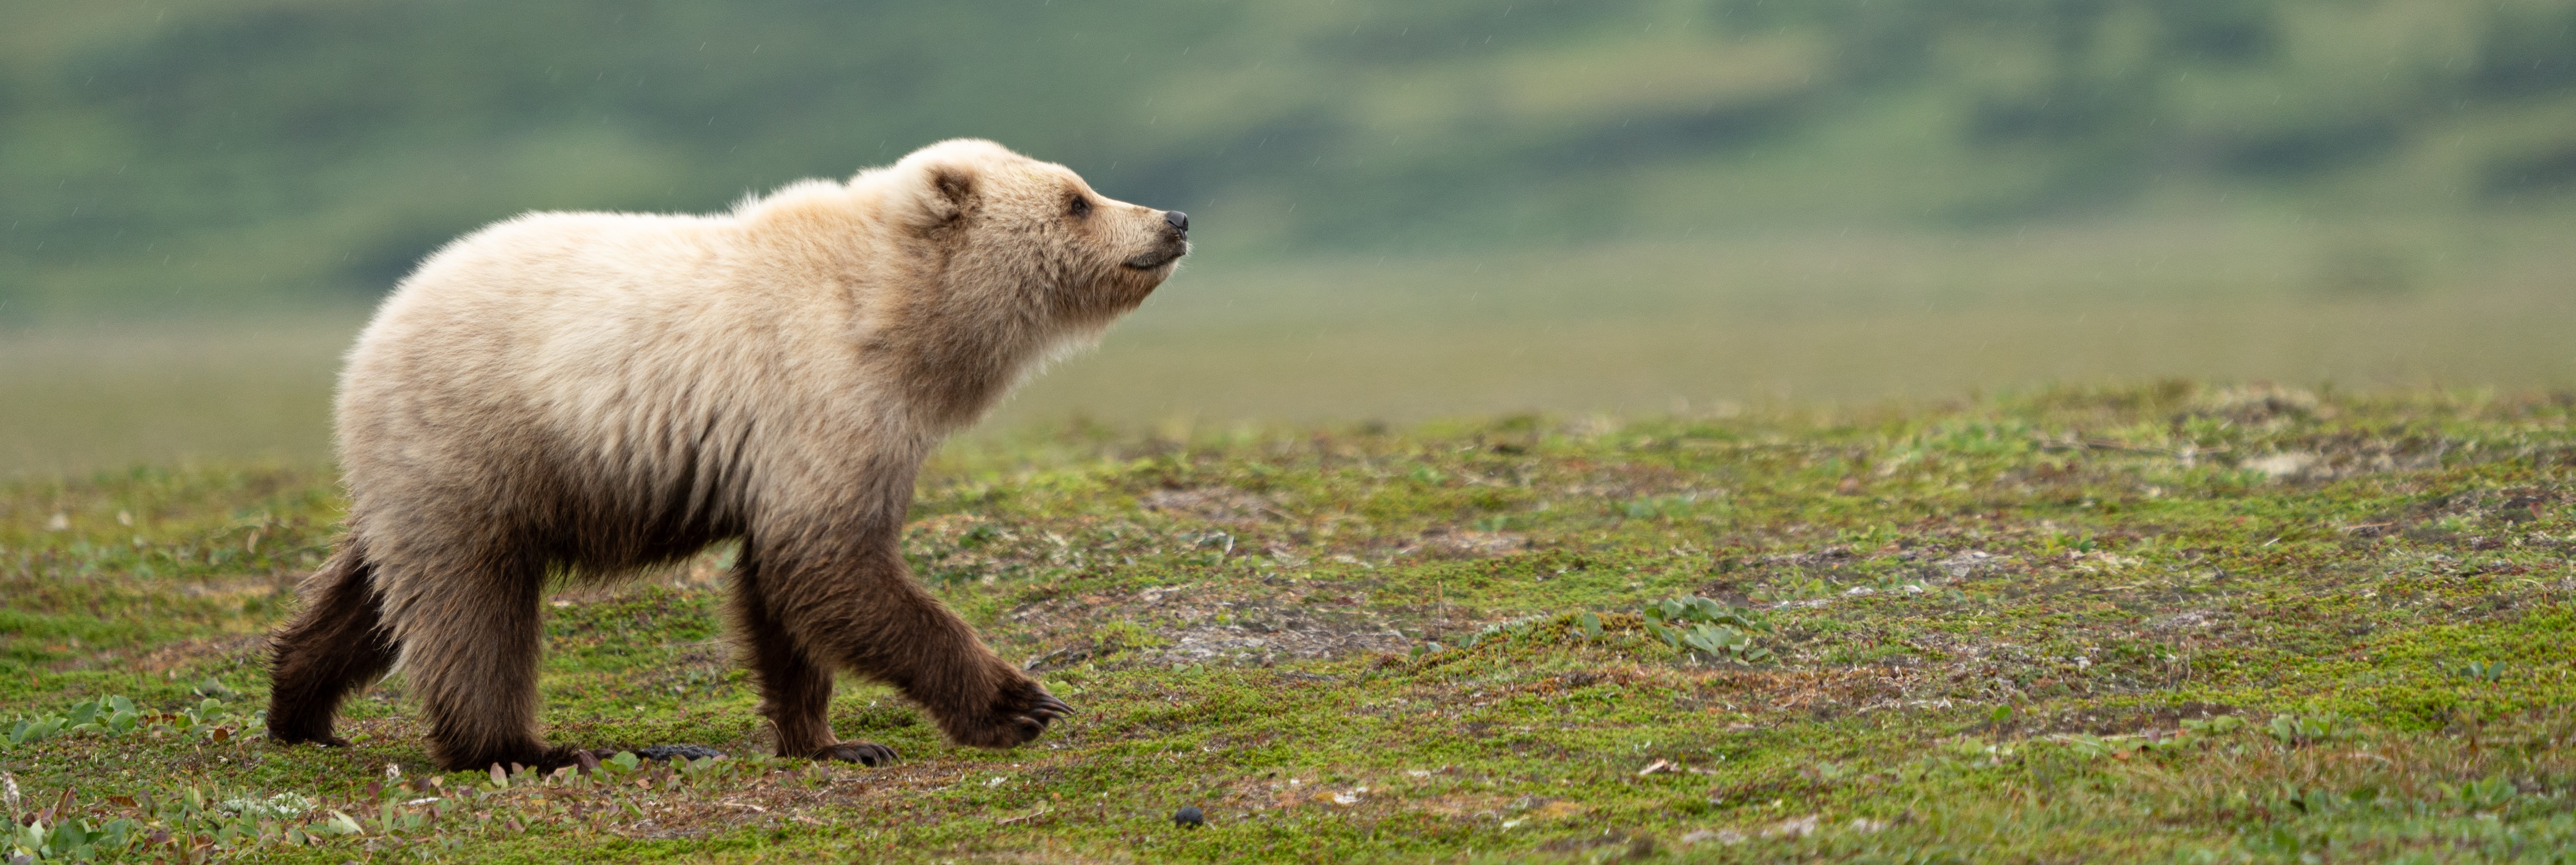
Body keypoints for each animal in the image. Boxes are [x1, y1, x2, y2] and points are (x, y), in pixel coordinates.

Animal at [264, 139, 1190, 772]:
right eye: (1076, 198)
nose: (1173, 219)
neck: (898, 317)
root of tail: (373, 333)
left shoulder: (792, 447)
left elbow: (783, 590)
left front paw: (830, 739)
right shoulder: (822, 399)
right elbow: (833, 564)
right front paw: (1021, 704)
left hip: (422, 473)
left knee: (375, 592)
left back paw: (300, 705)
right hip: (479, 444)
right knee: (472, 607)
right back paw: (522, 748)